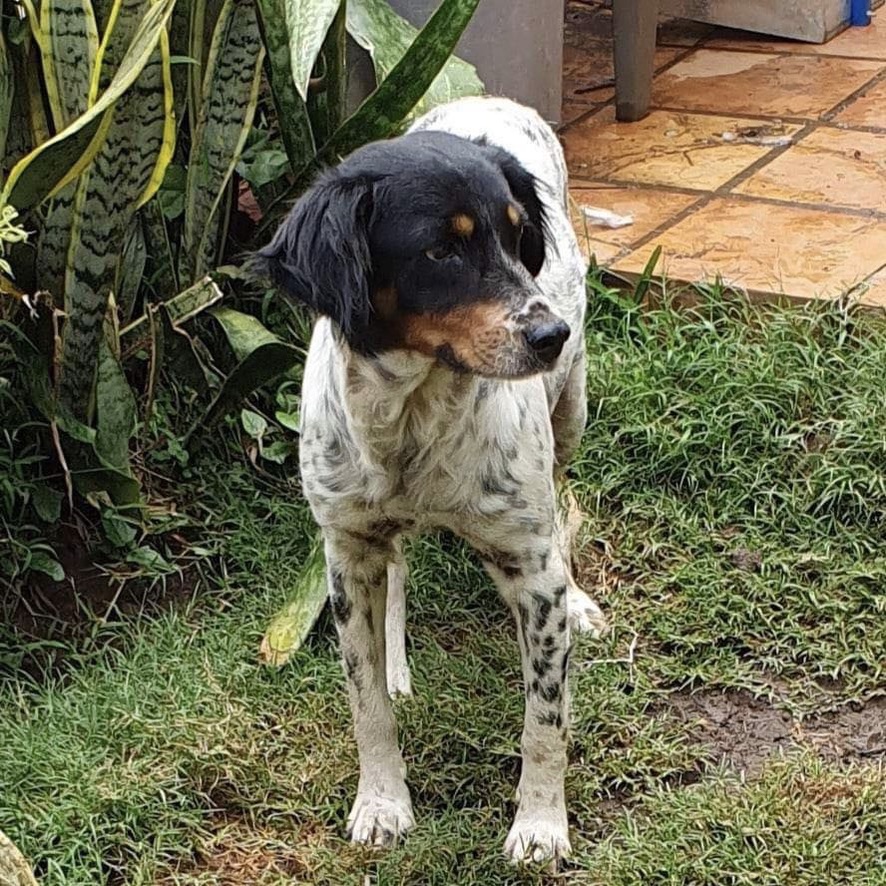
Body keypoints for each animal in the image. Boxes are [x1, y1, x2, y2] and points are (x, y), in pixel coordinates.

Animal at [253, 97, 608, 868]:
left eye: (517, 238)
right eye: (440, 251)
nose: (552, 335)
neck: (413, 421)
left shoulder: (531, 569)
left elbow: (545, 719)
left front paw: (541, 824)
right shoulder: (347, 554)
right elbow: (366, 707)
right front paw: (382, 803)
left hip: (572, 409)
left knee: (564, 499)